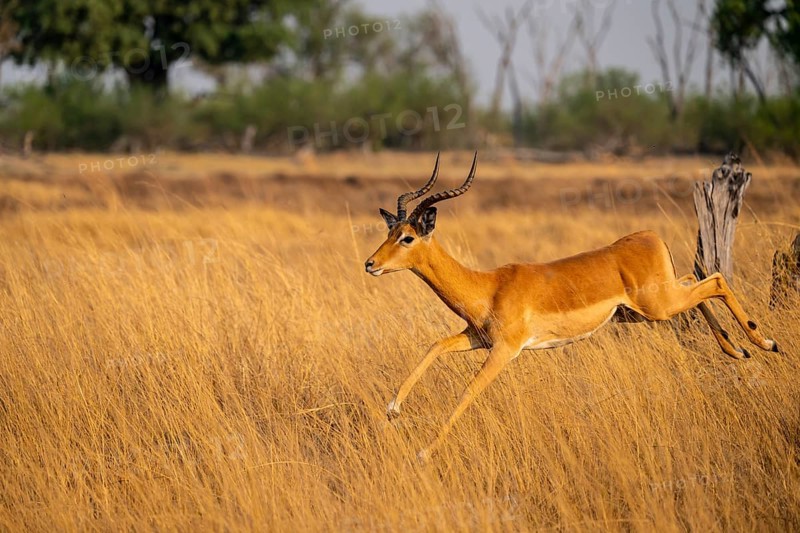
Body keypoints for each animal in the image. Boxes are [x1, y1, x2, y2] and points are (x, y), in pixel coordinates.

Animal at [364, 153, 778, 463]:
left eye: (407, 237)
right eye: (389, 231)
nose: (370, 264)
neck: (488, 286)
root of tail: (649, 236)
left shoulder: (505, 350)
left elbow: (469, 390)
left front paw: (423, 452)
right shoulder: (477, 337)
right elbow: (434, 346)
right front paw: (392, 409)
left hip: (657, 306)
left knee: (716, 280)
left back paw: (764, 343)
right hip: (644, 310)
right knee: (698, 281)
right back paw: (736, 349)